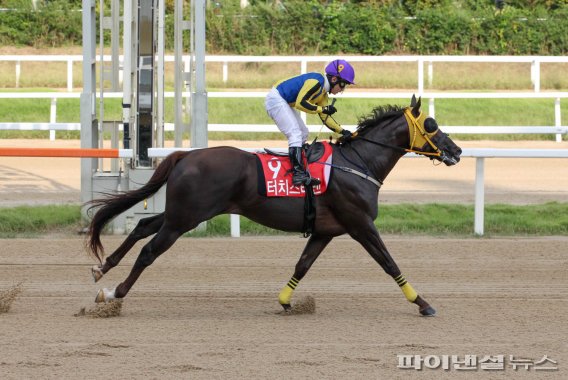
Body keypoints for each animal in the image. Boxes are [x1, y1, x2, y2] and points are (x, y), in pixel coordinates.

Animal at [87, 95, 462, 314]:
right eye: (431, 125)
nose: (456, 151)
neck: (358, 162)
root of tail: (185, 155)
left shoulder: (326, 231)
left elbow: (302, 265)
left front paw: (286, 301)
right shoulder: (360, 225)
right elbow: (388, 262)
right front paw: (423, 303)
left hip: (181, 213)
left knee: (141, 226)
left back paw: (102, 269)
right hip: (185, 218)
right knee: (149, 250)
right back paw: (115, 293)